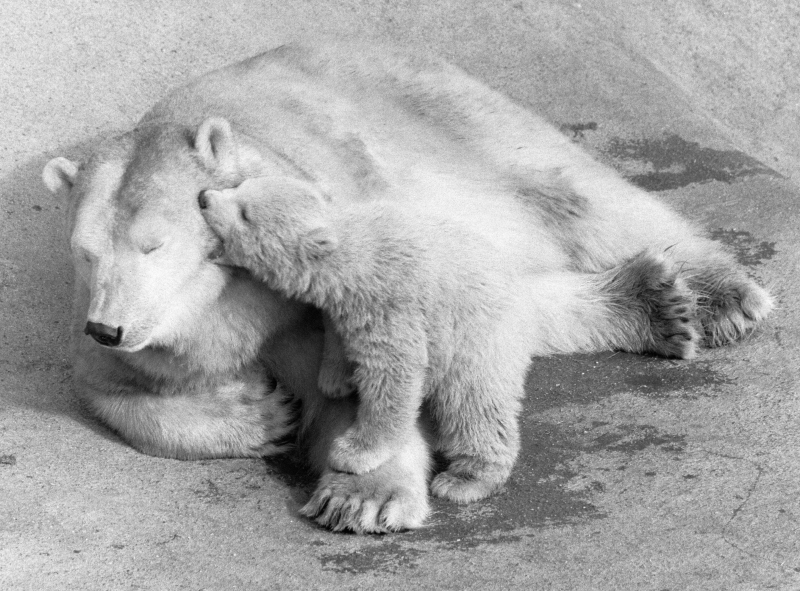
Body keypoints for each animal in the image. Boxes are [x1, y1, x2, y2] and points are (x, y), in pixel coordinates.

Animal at [42, 44, 768, 536]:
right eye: (84, 250)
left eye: (154, 245)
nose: (108, 326)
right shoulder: (118, 332)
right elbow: (110, 393)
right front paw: (261, 411)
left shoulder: (318, 289)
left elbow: (361, 387)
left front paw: (361, 495)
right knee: (508, 296)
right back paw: (656, 305)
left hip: (450, 122)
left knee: (575, 194)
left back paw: (721, 296)